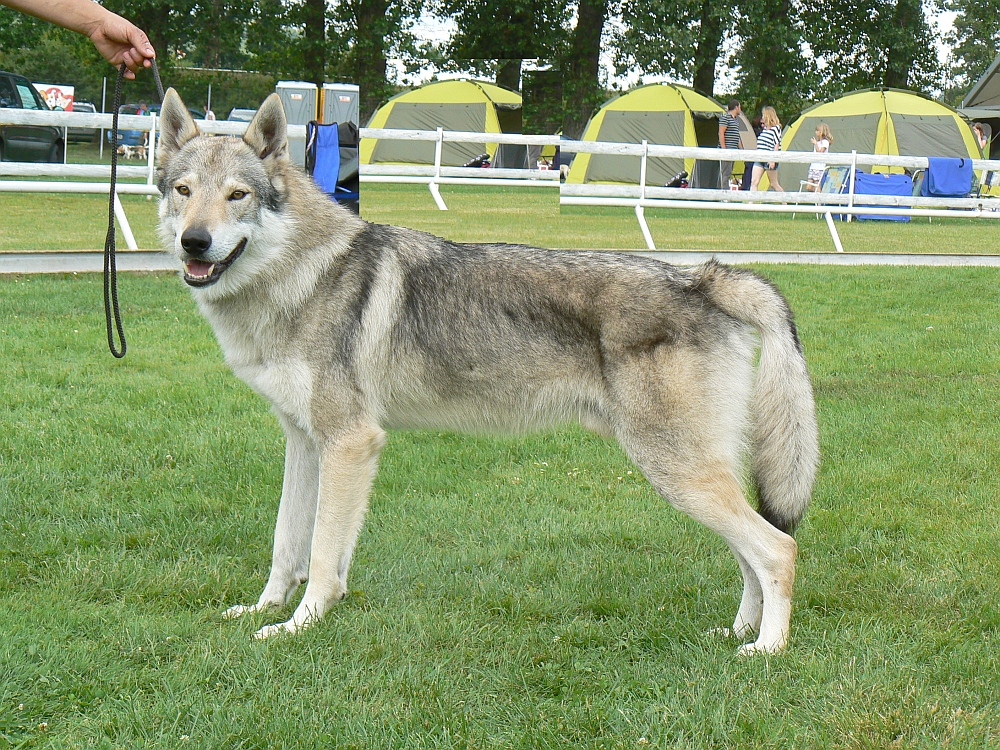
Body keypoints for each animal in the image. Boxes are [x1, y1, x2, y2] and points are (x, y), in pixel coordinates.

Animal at [154, 91, 812, 656]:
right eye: (183, 191)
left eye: (238, 195)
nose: (194, 242)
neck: (302, 275)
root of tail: (703, 276)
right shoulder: (304, 441)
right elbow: (285, 543)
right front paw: (266, 609)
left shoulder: (350, 443)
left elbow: (320, 557)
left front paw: (300, 626)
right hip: (688, 474)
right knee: (751, 553)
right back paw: (737, 632)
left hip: (677, 471)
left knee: (778, 548)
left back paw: (767, 649)